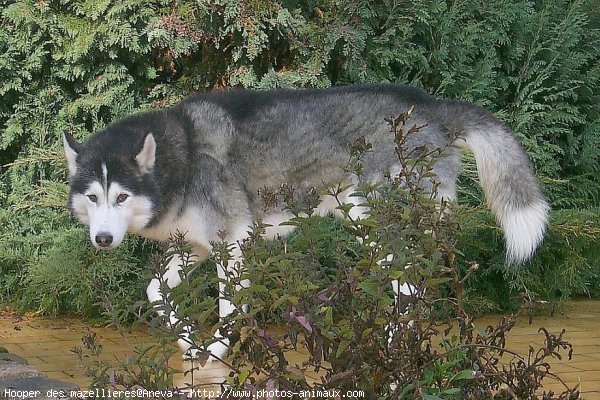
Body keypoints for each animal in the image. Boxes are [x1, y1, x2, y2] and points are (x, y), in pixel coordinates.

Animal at [64, 83, 548, 360]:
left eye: (122, 196)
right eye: (93, 197)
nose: (102, 239)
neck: (178, 157)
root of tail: (431, 105)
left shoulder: (232, 244)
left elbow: (229, 308)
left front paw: (215, 351)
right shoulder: (196, 246)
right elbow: (155, 294)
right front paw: (188, 342)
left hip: (374, 225)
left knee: (408, 289)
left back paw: (391, 351)